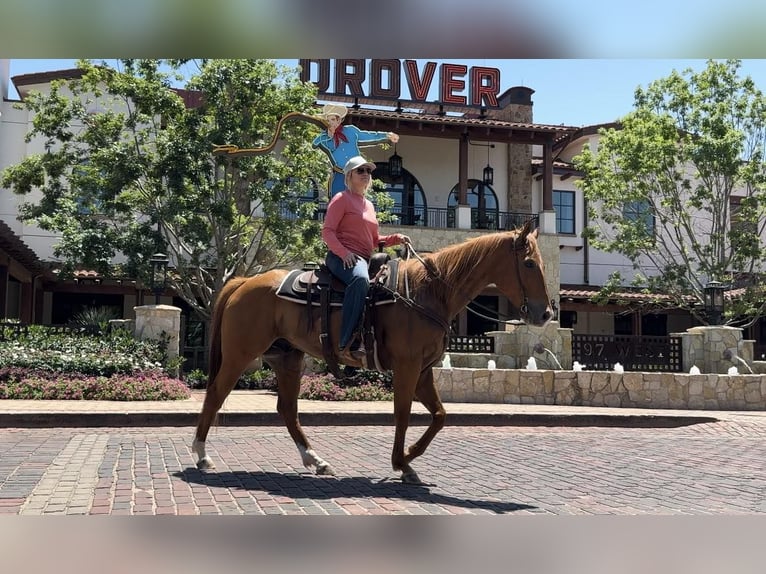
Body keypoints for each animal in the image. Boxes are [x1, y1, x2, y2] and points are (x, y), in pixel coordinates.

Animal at [192, 223, 552, 484]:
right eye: (529, 263)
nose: (546, 314)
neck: (428, 292)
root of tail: (242, 281)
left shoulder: (424, 371)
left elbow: (440, 415)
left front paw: (410, 456)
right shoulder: (407, 367)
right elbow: (403, 414)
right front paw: (401, 462)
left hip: (287, 358)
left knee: (287, 410)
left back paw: (316, 460)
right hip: (239, 356)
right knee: (215, 394)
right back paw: (201, 454)